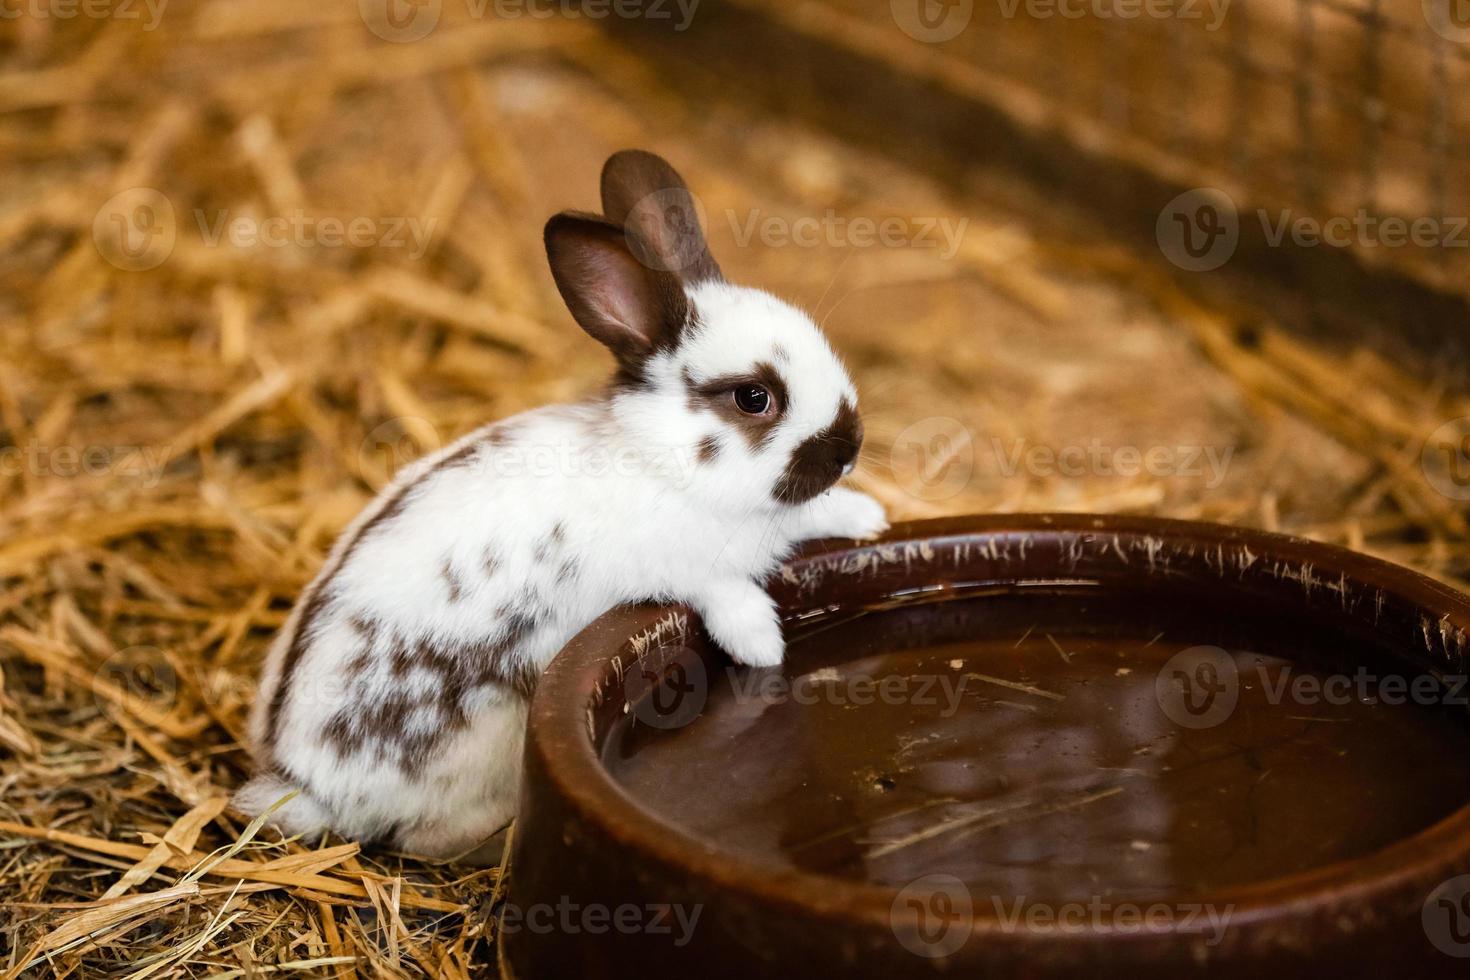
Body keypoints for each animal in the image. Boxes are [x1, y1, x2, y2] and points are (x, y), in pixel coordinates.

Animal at [235, 147, 887, 858]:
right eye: (753, 398)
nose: (849, 448)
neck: (663, 460)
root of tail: (303, 784)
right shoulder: (687, 569)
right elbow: (727, 595)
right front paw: (762, 645)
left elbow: (814, 514)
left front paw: (868, 519)